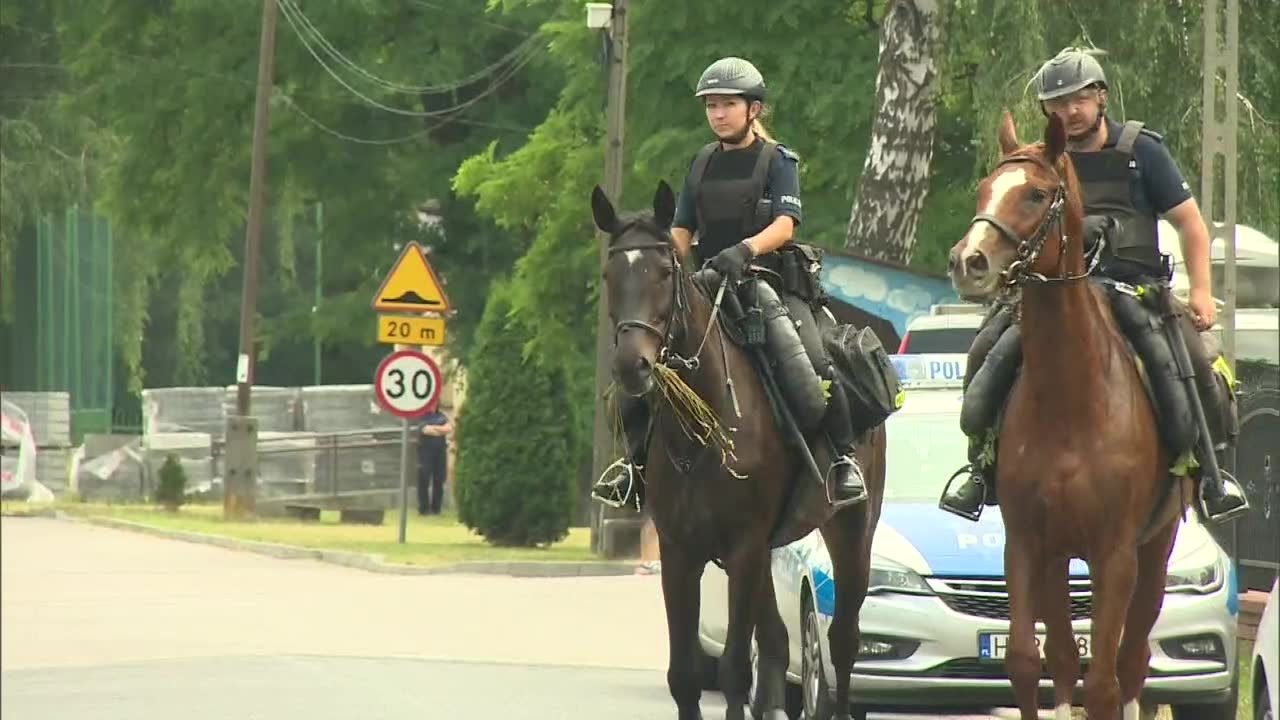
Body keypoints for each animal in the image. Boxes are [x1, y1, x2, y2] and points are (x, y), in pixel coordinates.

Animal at [591, 180, 885, 717]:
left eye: (664, 272)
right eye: (610, 274)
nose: (630, 367)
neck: (702, 431)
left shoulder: (743, 548)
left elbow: (731, 670)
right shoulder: (681, 552)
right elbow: (684, 674)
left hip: (851, 532)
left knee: (842, 642)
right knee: (776, 643)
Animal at [952, 109, 1187, 712]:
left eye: (1036, 194)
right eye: (984, 189)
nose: (968, 262)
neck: (1070, 404)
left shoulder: (1115, 555)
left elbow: (1102, 683)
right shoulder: (1028, 545)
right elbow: (1027, 660)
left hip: (1154, 554)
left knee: (1132, 662)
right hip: (1062, 561)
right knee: (1063, 654)